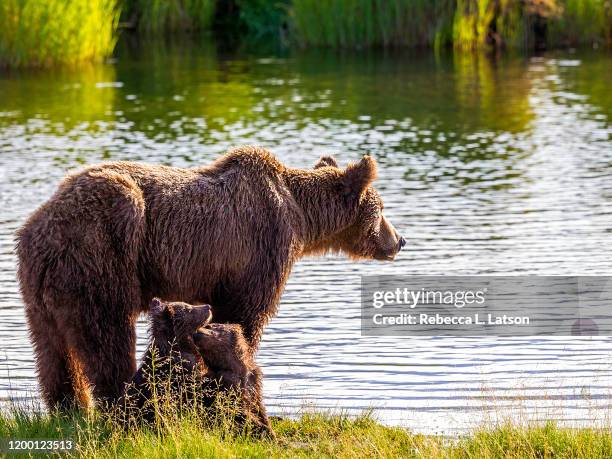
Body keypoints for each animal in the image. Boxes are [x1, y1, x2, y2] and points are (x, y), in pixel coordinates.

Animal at [15, 146, 402, 410]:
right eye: (381, 209)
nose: (399, 240)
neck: (302, 218)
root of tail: (41, 230)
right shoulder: (260, 249)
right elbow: (245, 317)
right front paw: (237, 380)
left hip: (38, 288)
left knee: (52, 352)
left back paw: (69, 409)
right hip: (101, 256)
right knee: (107, 335)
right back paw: (119, 399)